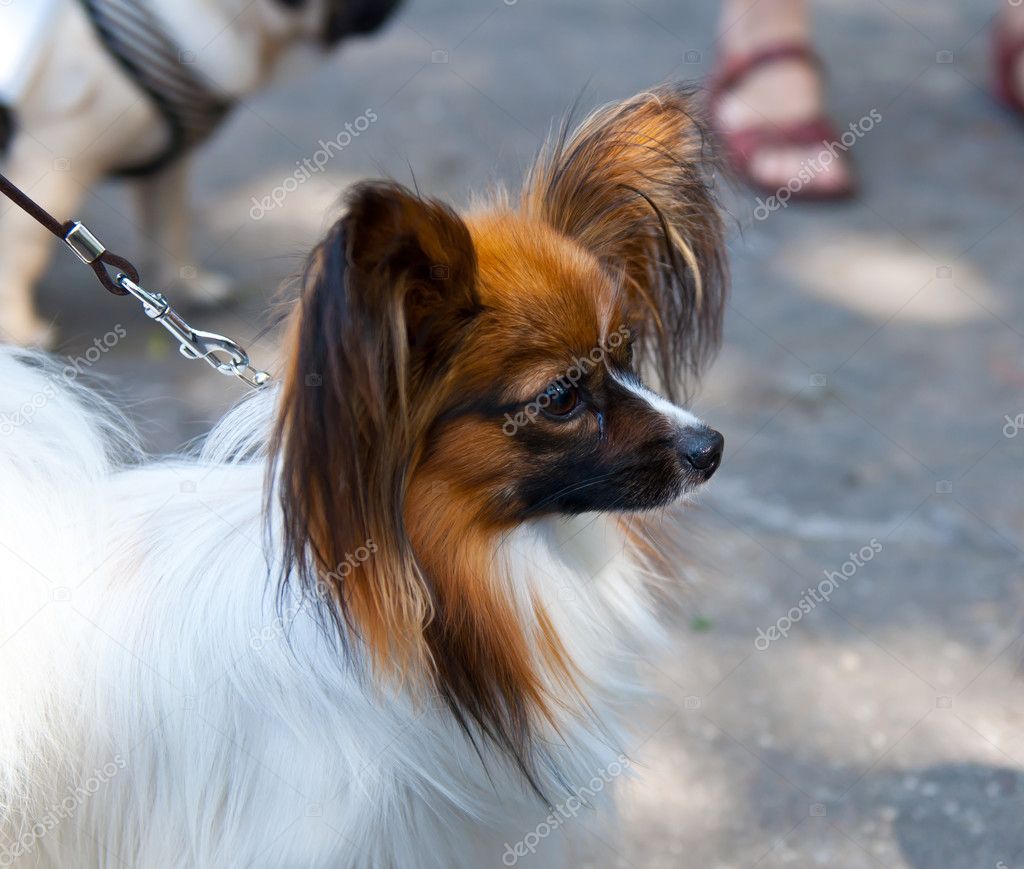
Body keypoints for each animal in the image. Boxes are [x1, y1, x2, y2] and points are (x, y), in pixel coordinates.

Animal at [0, 0, 399, 345]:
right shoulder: (51, 167)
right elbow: (22, 249)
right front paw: (20, 330)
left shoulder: (168, 165)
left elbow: (171, 227)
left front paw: (189, 287)